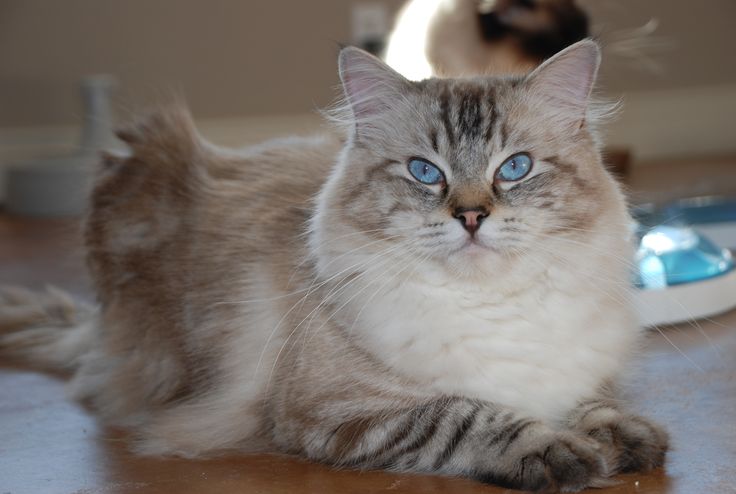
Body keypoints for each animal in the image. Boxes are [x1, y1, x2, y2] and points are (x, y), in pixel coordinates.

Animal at [0, 40, 668, 492]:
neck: (492, 308)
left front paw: (623, 437)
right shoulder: (338, 412)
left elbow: (595, 402)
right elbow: (468, 415)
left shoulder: (576, 365)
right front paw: (561, 451)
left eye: (515, 167)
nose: (472, 217)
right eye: (424, 172)